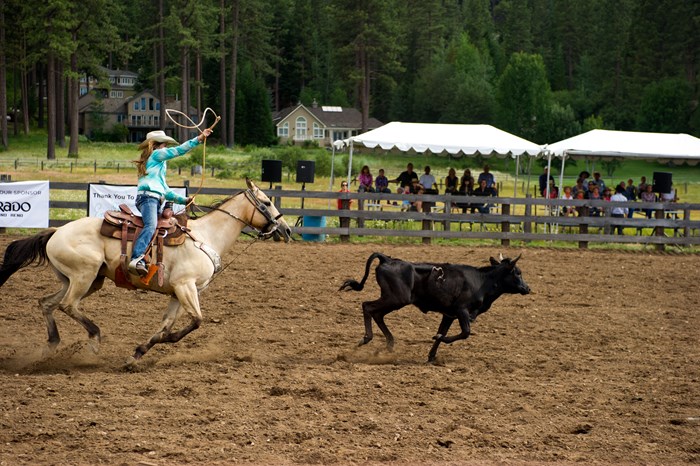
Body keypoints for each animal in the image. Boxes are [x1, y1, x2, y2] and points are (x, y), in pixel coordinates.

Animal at [0, 178, 292, 364]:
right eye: (266, 202)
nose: (287, 229)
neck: (206, 236)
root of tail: (55, 231)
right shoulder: (186, 287)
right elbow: (196, 321)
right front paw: (158, 343)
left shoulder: (178, 292)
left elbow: (167, 325)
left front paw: (138, 353)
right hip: (84, 275)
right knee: (67, 305)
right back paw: (94, 338)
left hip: (83, 280)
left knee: (47, 303)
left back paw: (51, 345)